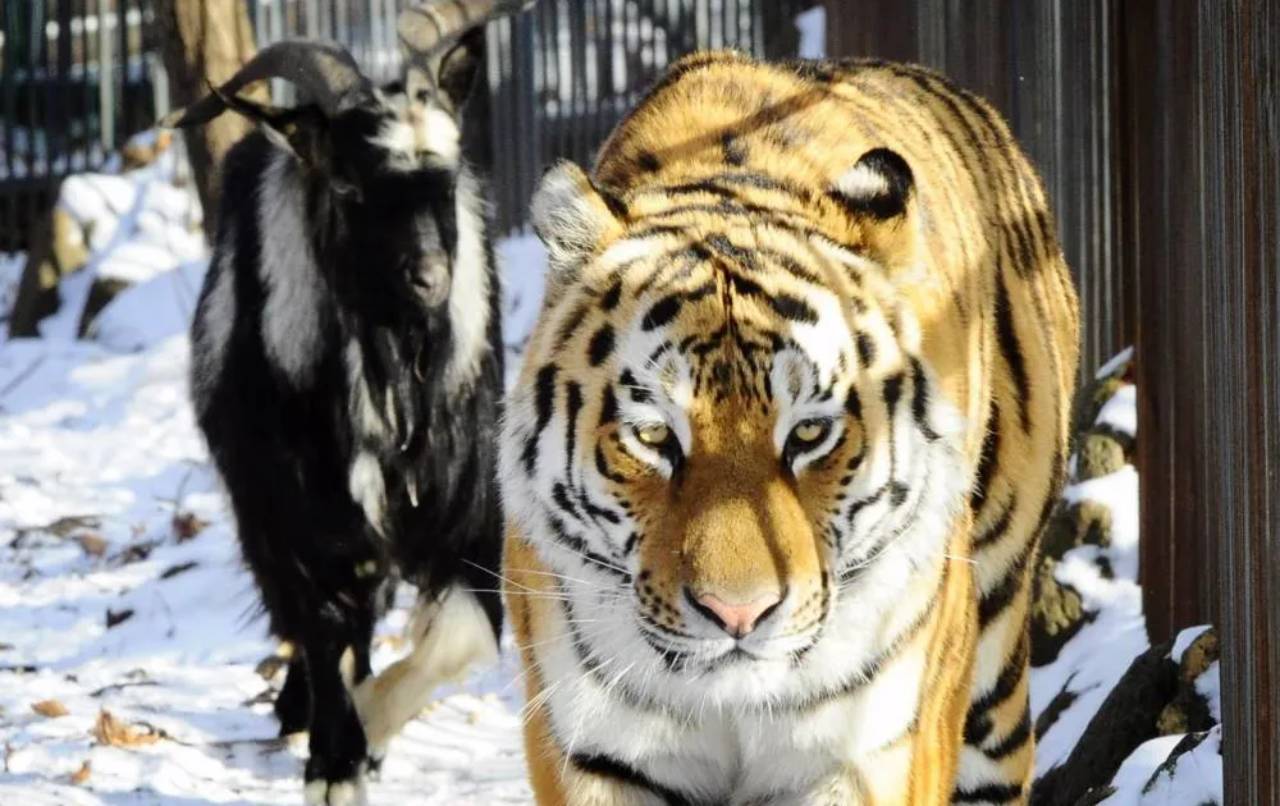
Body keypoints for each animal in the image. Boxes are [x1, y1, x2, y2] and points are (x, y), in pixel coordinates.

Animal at [170, 5, 522, 802]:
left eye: (446, 178)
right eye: (350, 188)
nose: (430, 279)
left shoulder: (468, 508)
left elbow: (463, 634)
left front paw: (371, 727)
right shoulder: (292, 512)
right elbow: (323, 624)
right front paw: (335, 761)